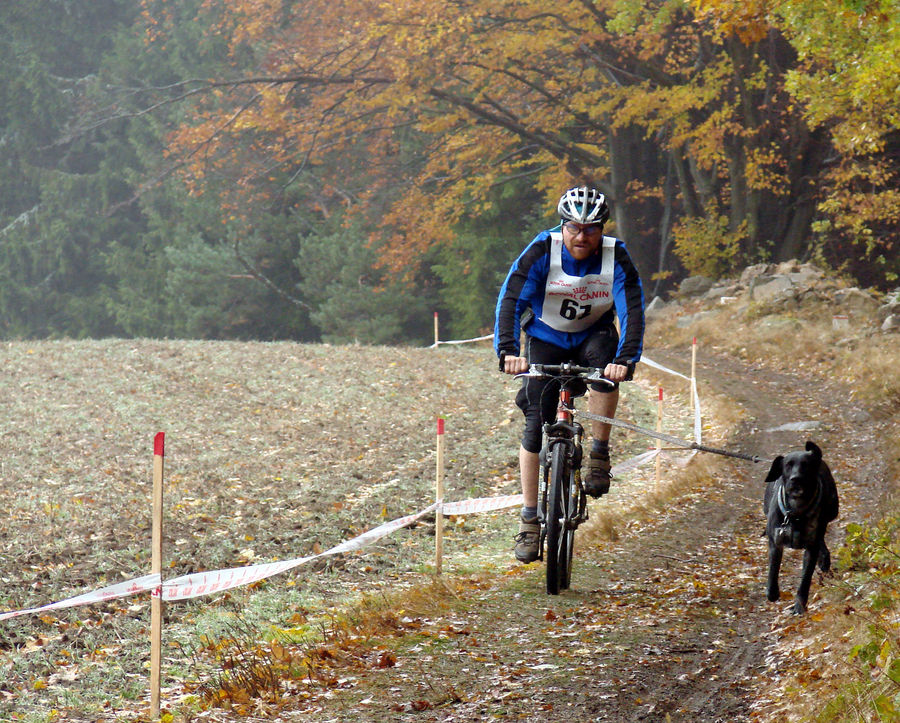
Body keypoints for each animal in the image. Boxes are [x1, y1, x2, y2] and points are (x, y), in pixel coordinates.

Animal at [764, 438, 840, 612]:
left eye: (806, 465)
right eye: (788, 465)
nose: (796, 479)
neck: (795, 512)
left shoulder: (811, 548)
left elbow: (805, 579)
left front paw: (799, 606)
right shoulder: (775, 542)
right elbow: (773, 570)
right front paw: (773, 593)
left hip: (832, 511)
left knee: (822, 539)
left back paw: (824, 559)